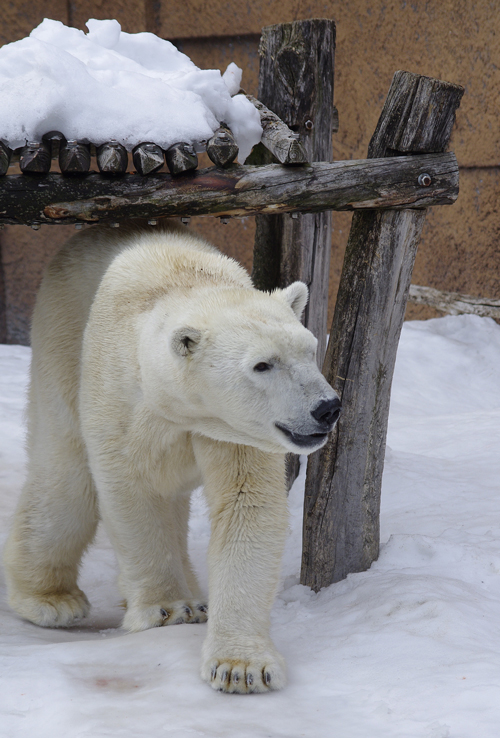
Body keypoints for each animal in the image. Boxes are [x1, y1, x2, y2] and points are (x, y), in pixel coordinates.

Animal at [2, 218, 340, 688]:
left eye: (310, 349)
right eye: (262, 364)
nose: (327, 408)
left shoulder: (235, 431)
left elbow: (245, 504)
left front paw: (240, 666)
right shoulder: (121, 394)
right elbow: (133, 491)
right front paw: (168, 609)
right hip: (60, 337)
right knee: (67, 481)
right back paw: (50, 600)